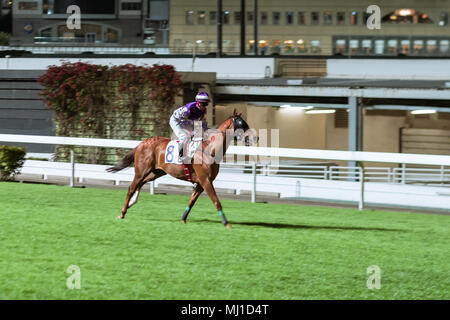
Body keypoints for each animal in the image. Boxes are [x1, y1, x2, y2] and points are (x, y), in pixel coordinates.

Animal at [106, 109, 258, 228]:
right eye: (241, 124)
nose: (255, 137)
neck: (210, 149)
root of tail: (141, 144)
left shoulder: (201, 182)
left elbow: (192, 201)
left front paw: (183, 219)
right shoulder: (206, 180)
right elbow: (216, 201)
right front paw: (226, 223)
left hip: (156, 172)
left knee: (141, 183)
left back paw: (132, 203)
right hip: (141, 171)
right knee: (131, 187)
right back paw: (122, 212)